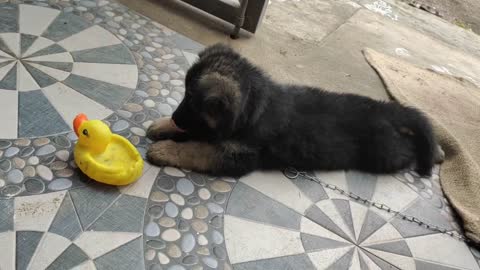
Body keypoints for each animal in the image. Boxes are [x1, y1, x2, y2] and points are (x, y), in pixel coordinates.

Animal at [147, 43, 442, 177]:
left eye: (192, 100)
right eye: (184, 93)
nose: (174, 116)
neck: (252, 108)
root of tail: (387, 109)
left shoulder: (239, 155)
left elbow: (197, 149)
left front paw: (166, 149)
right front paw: (163, 125)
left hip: (385, 153)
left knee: (408, 150)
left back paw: (435, 154)